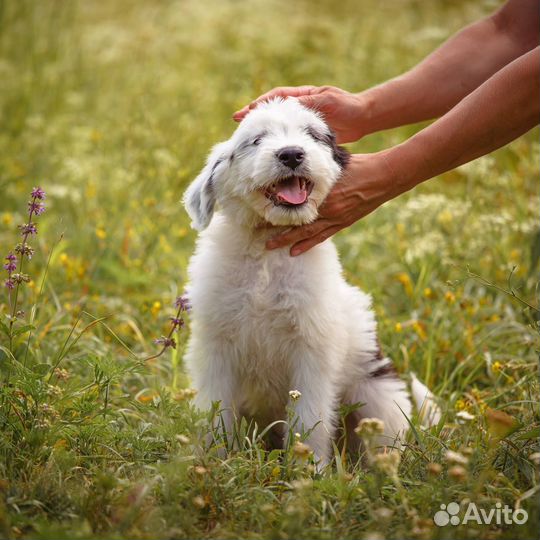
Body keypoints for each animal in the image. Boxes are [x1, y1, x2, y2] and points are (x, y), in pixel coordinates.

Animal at [184, 97, 436, 464]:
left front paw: (309, 470)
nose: (291, 154)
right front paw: (214, 462)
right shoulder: (216, 347)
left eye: (312, 135)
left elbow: (309, 418)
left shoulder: (312, 351)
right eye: (256, 140)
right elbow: (216, 412)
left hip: (380, 399)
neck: (267, 252)